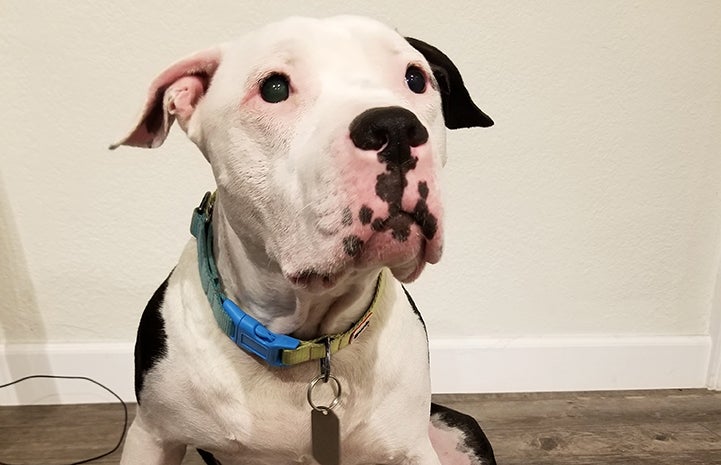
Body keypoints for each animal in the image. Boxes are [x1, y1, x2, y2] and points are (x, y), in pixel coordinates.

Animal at [111, 14, 496, 464]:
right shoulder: (152, 435)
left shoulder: (413, 449)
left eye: (416, 78)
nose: (396, 127)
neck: (305, 340)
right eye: (274, 89)